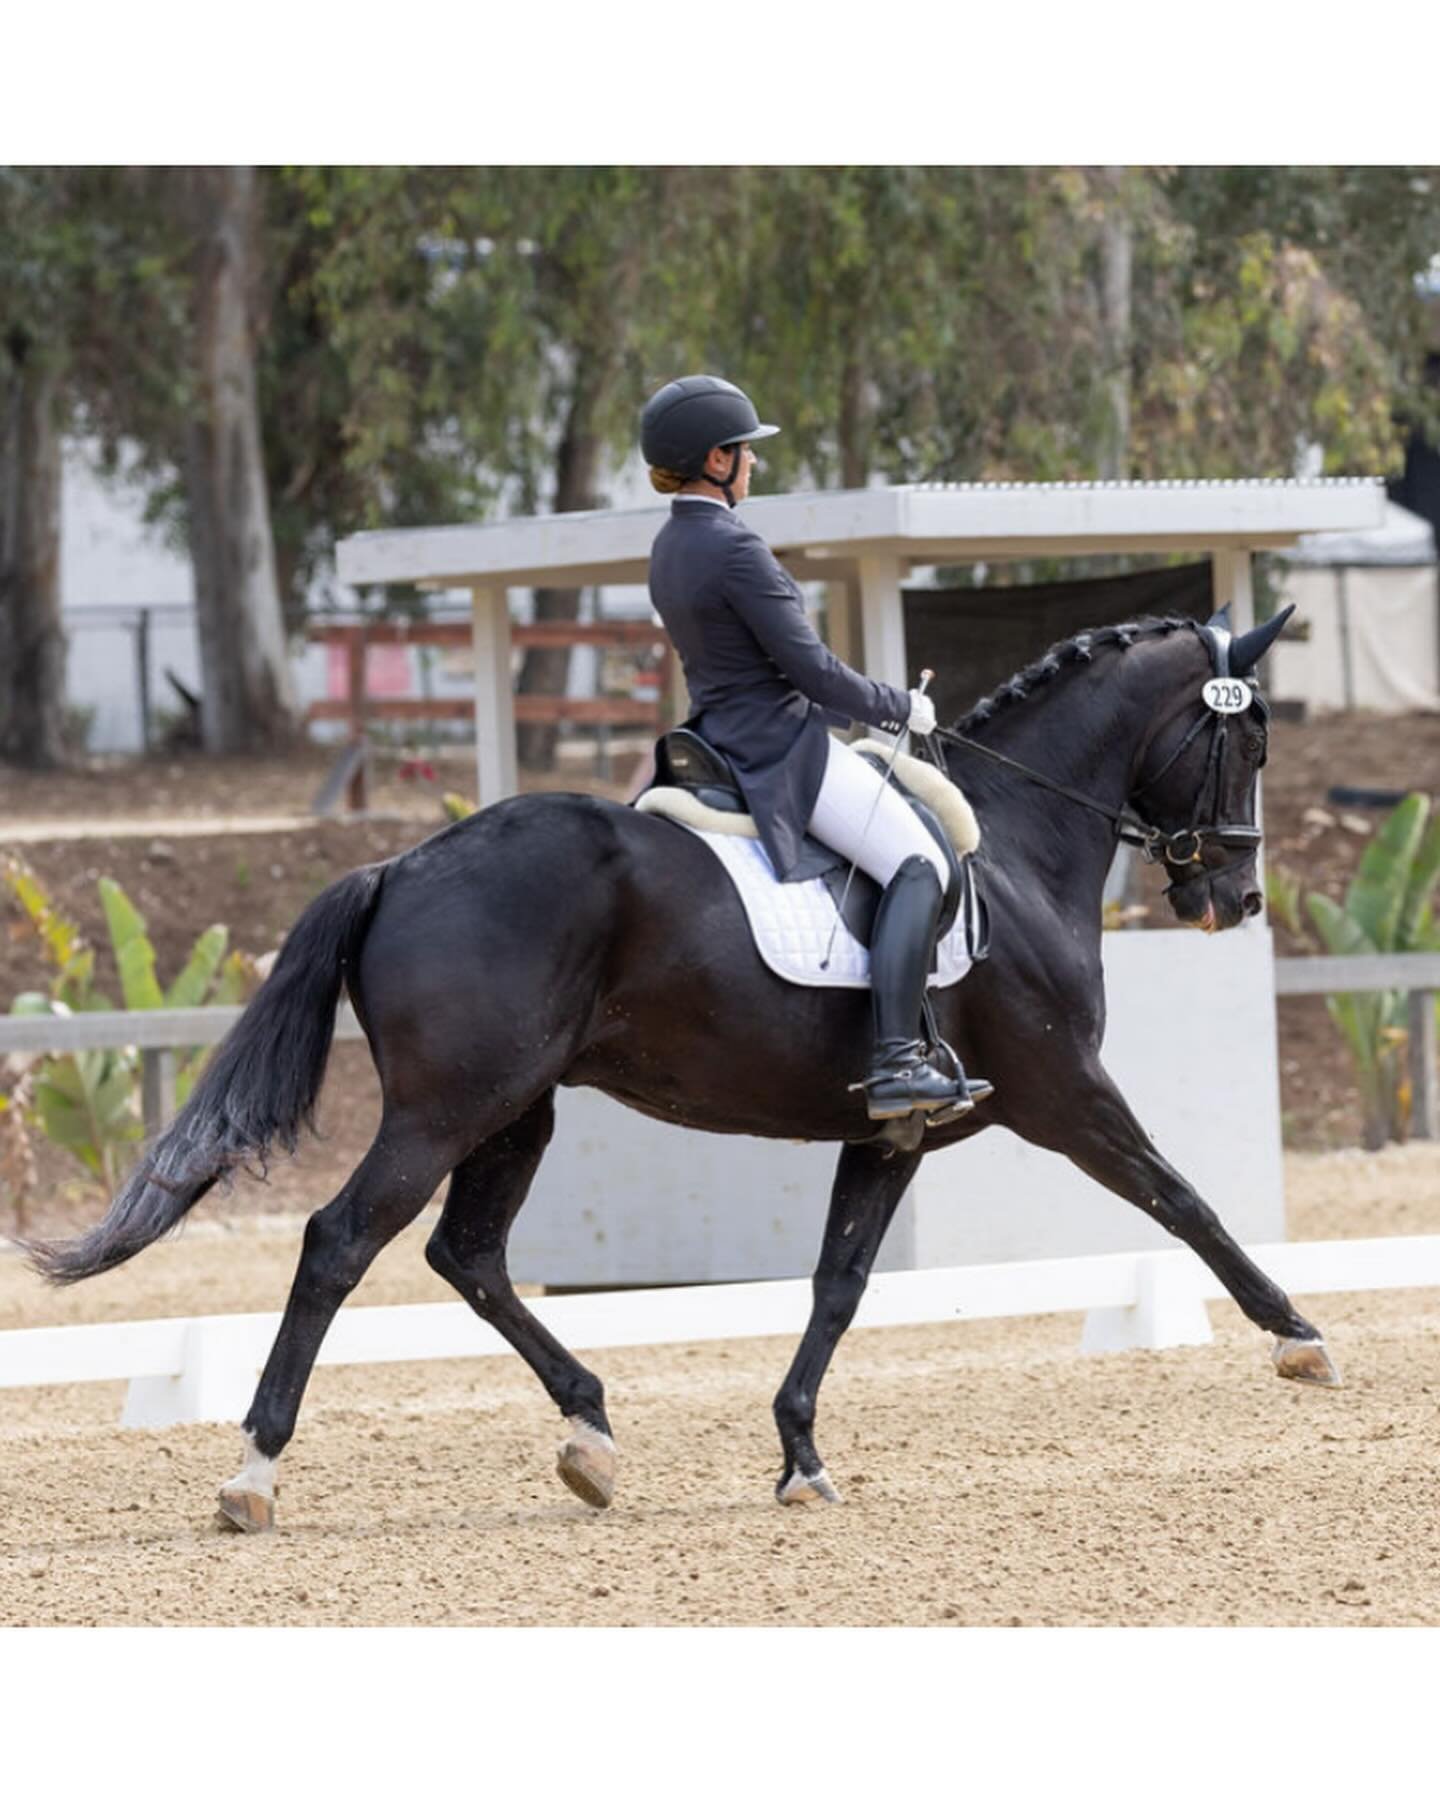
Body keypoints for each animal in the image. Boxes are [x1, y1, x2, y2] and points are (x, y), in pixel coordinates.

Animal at [31, 608, 1339, 1533]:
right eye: (1250, 736)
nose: (1235, 897)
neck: (1010, 845)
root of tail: (402, 865)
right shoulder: (1063, 1093)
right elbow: (1183, 1201)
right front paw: (1300, 1338)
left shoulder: (890, 1132)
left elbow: (838, 1285)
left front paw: (800, 1455)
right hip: (450, 1107)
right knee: (342, 1242)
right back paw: (256, 1473)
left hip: (517, 1111)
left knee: (469, 1256)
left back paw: (592, 1436)